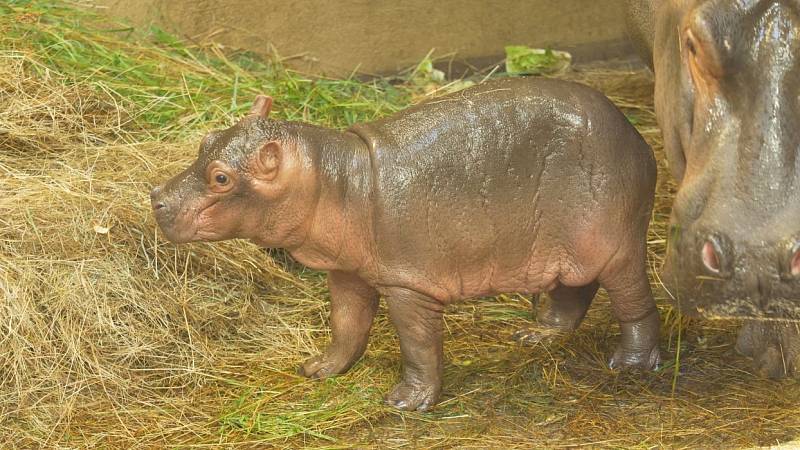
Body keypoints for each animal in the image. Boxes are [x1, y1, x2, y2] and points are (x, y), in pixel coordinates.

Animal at [153, 78, 660, 412]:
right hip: (570, 246)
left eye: (221, 178)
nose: (156, 197)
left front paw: (403, 402)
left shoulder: (408, 283)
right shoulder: (348, 272)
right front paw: (318, 369)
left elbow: (417, 344)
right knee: (576, 287)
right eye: (207, 138)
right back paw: (536, 334)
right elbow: (346, 326)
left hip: (619, 243)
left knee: (635, 301)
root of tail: (635, 133)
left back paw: (630, 364)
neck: (339, 178)